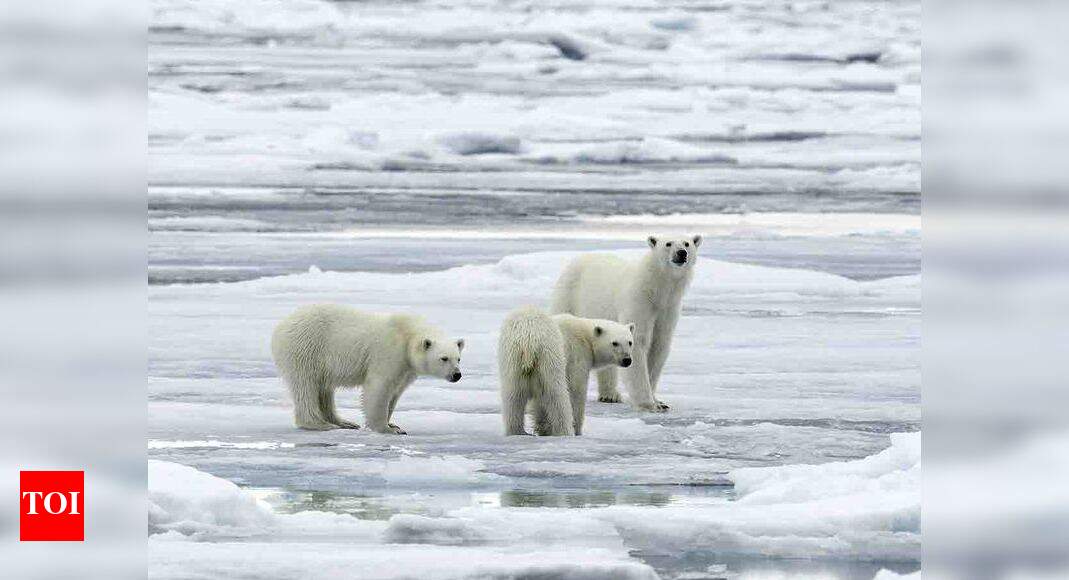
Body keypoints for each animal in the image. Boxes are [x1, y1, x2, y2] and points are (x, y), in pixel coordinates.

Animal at [271, 304, 464, 434]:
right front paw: (388, 429)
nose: (457, 375)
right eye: (444, 358)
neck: (407, 334)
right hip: (306, 349)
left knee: (324, 389)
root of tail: (280, 327)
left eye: (458, 358)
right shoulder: (389, 353)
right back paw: (319, 424)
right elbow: (379, 387)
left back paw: (344, 422)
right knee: (306, 386)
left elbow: (396, 392)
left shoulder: (406, 368)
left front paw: (393, 423)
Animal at [498, 305, 635, 436]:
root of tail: (528, 339)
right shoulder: (577, 355)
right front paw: (577, 430)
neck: (586, 335)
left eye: (630, 342)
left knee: (513, 395)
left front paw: (543, 428)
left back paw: (517, 431)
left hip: (512, 359)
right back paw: (564, 431)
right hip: (550, 355)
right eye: (614, 343)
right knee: (556, 394)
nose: (627, 360)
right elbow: (576, 391)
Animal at [551, 235, 701, 413]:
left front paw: (659, 402)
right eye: (668, 243)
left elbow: (659, 345)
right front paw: (648, 403)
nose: (682, 253)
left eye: (687, 243)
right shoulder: (639, 301)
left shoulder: (668, 308)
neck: (656, 288)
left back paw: (610, 395)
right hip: (569, 296)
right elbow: (639, 342)